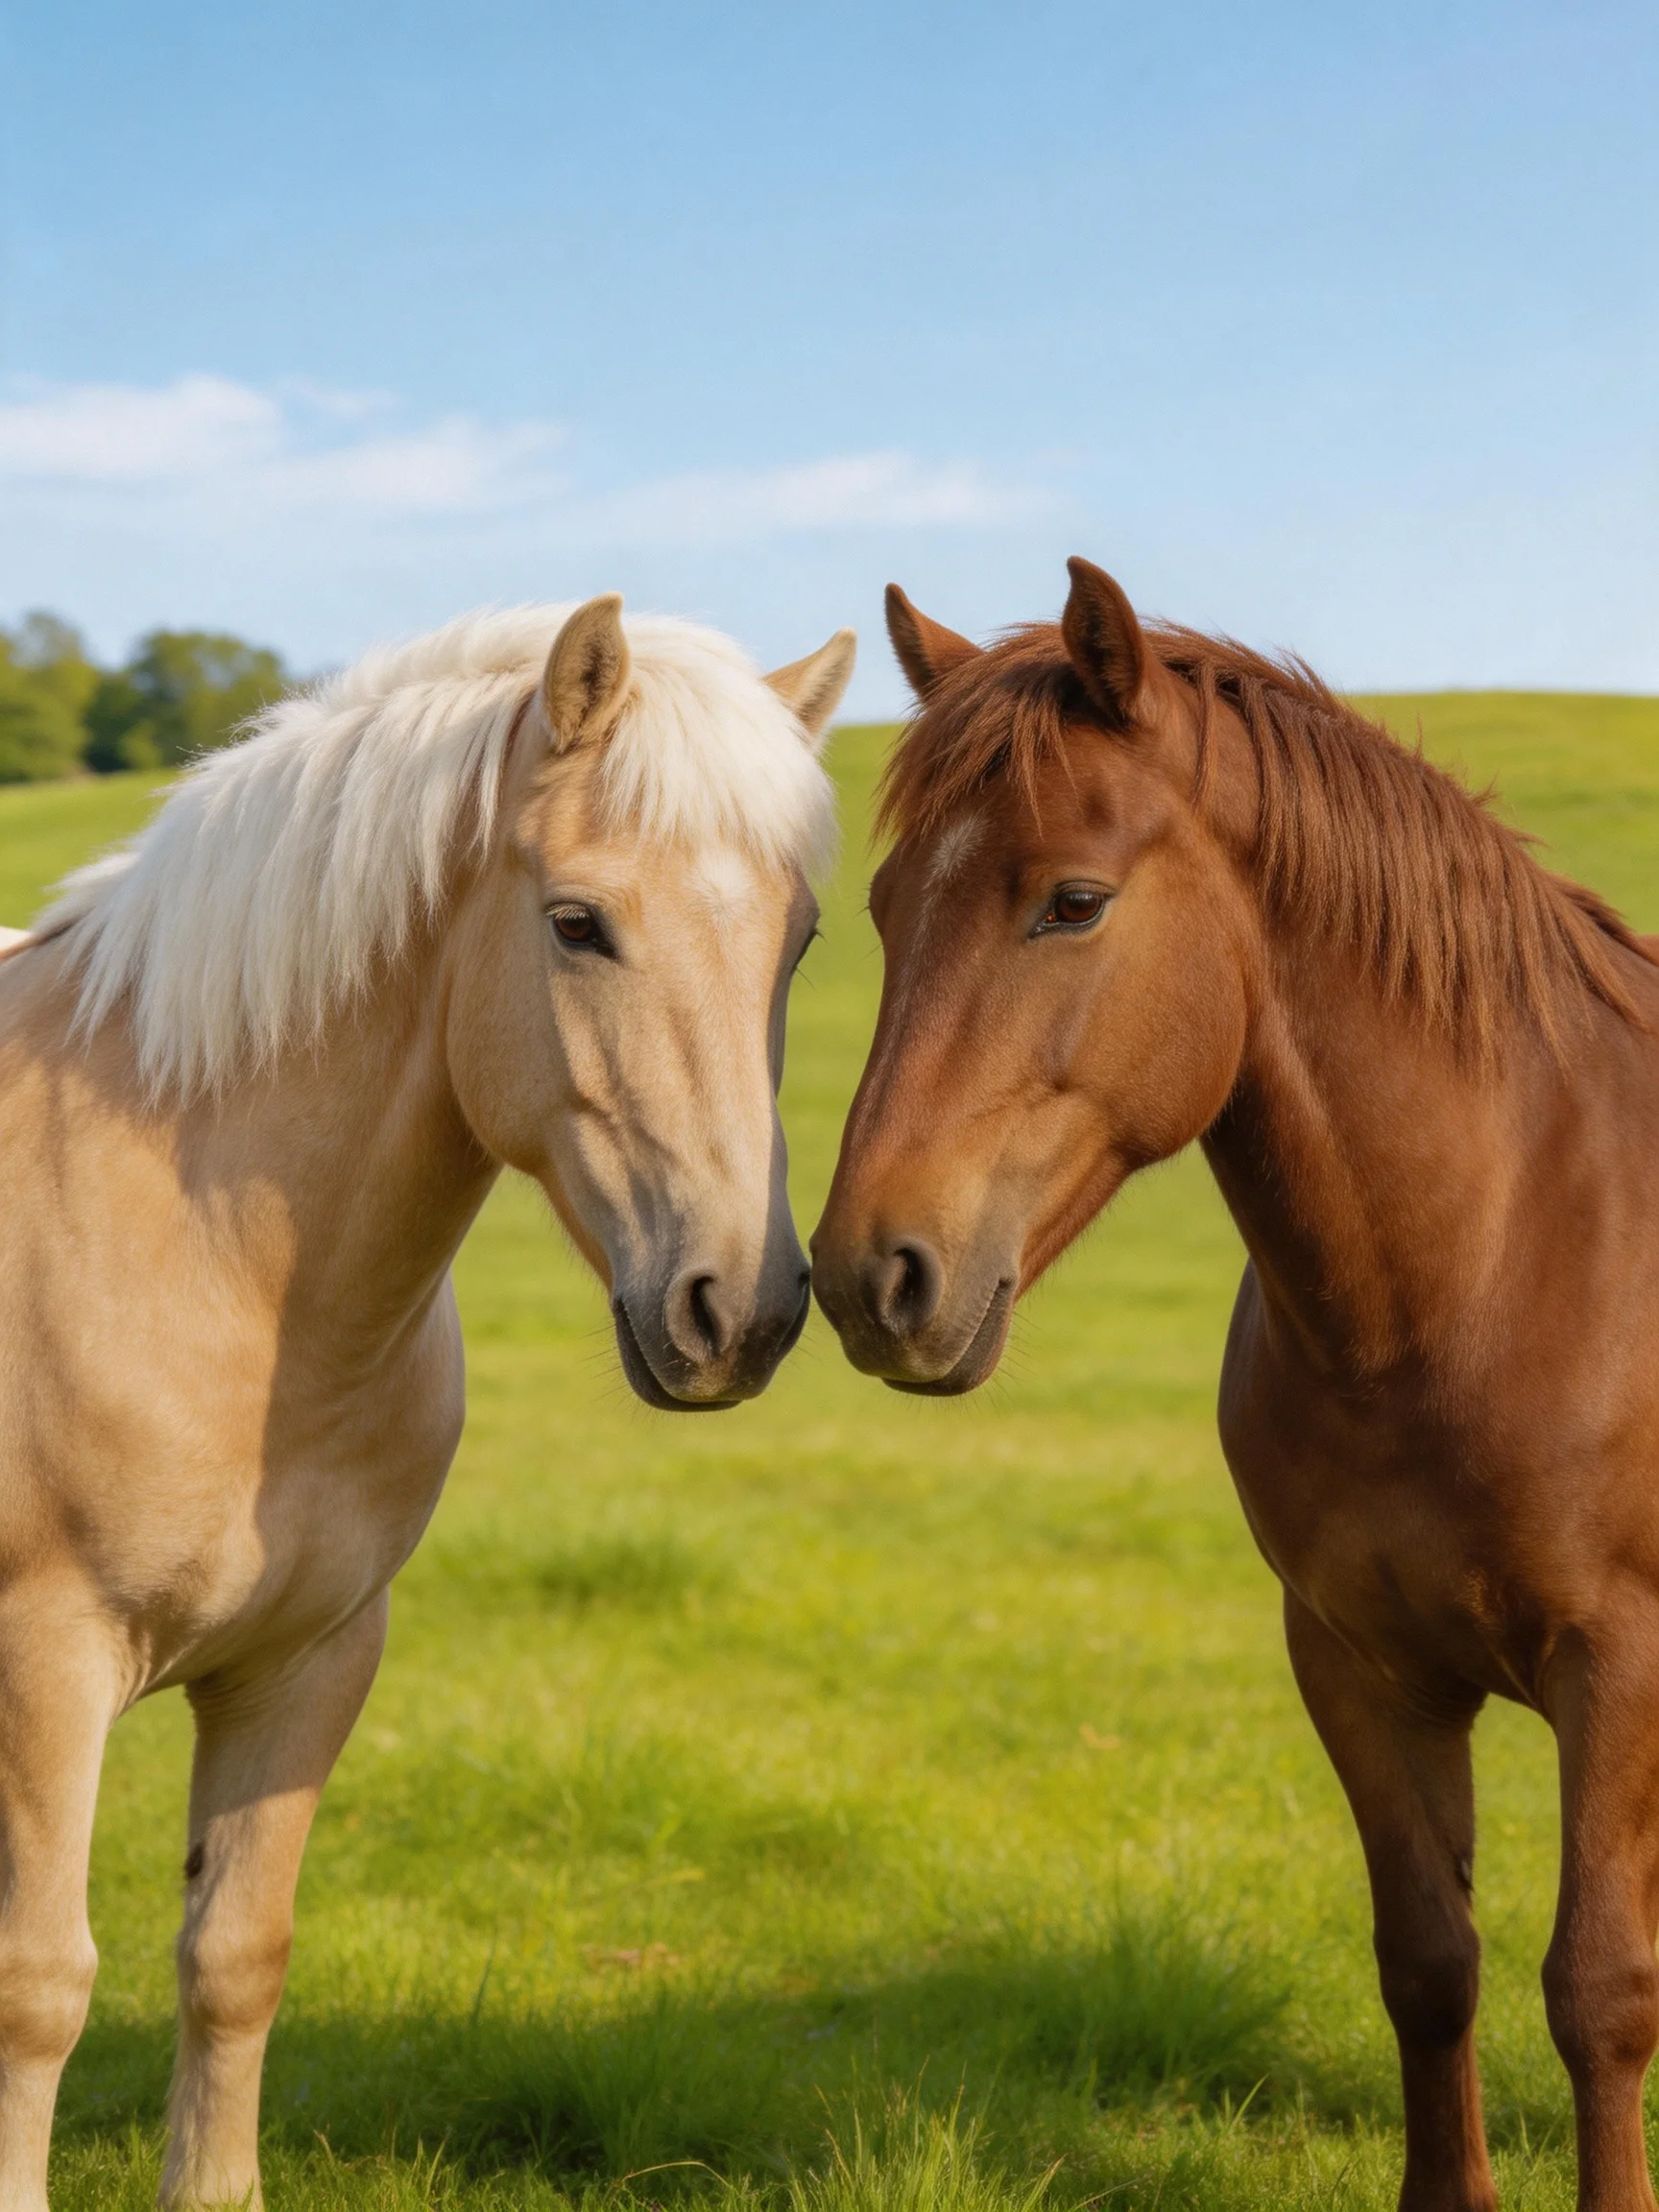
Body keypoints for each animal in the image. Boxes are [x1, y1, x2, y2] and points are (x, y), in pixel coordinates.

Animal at [0, 591, 853, 2211]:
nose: (740, 1313)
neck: (211, 1261)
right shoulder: (44, 1667)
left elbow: (235, 1958)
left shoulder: (312, 1658)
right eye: (576, 922)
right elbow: (38, 1985)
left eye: (804, 938)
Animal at [812, 558, 1659, 2212]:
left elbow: (1598, 1989)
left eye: (1073, 902)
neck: (1492, 1260)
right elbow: (1430, 1963)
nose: (871, 1276)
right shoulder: (1357, 1663)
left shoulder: (1622, 1664)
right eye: (883, 910)